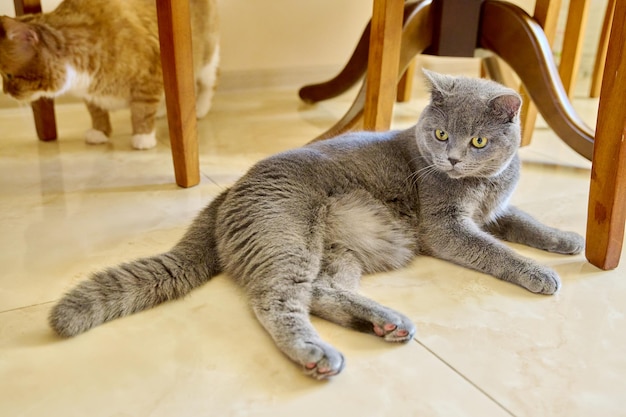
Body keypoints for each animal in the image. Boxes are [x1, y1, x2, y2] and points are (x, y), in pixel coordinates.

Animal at [47, 70, 580, 376]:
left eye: (478, 142)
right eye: (441, 134)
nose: (450, 159)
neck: (484, 184)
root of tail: (231, 190)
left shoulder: (497, 210)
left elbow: (526, 222)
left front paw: (567, 241)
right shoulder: (447, 227)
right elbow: (495, 250)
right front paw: (540, 273)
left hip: (341, 250)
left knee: (321, 290)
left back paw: (384, 322)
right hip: (287, 235)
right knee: (277, 300)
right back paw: (316, 353)